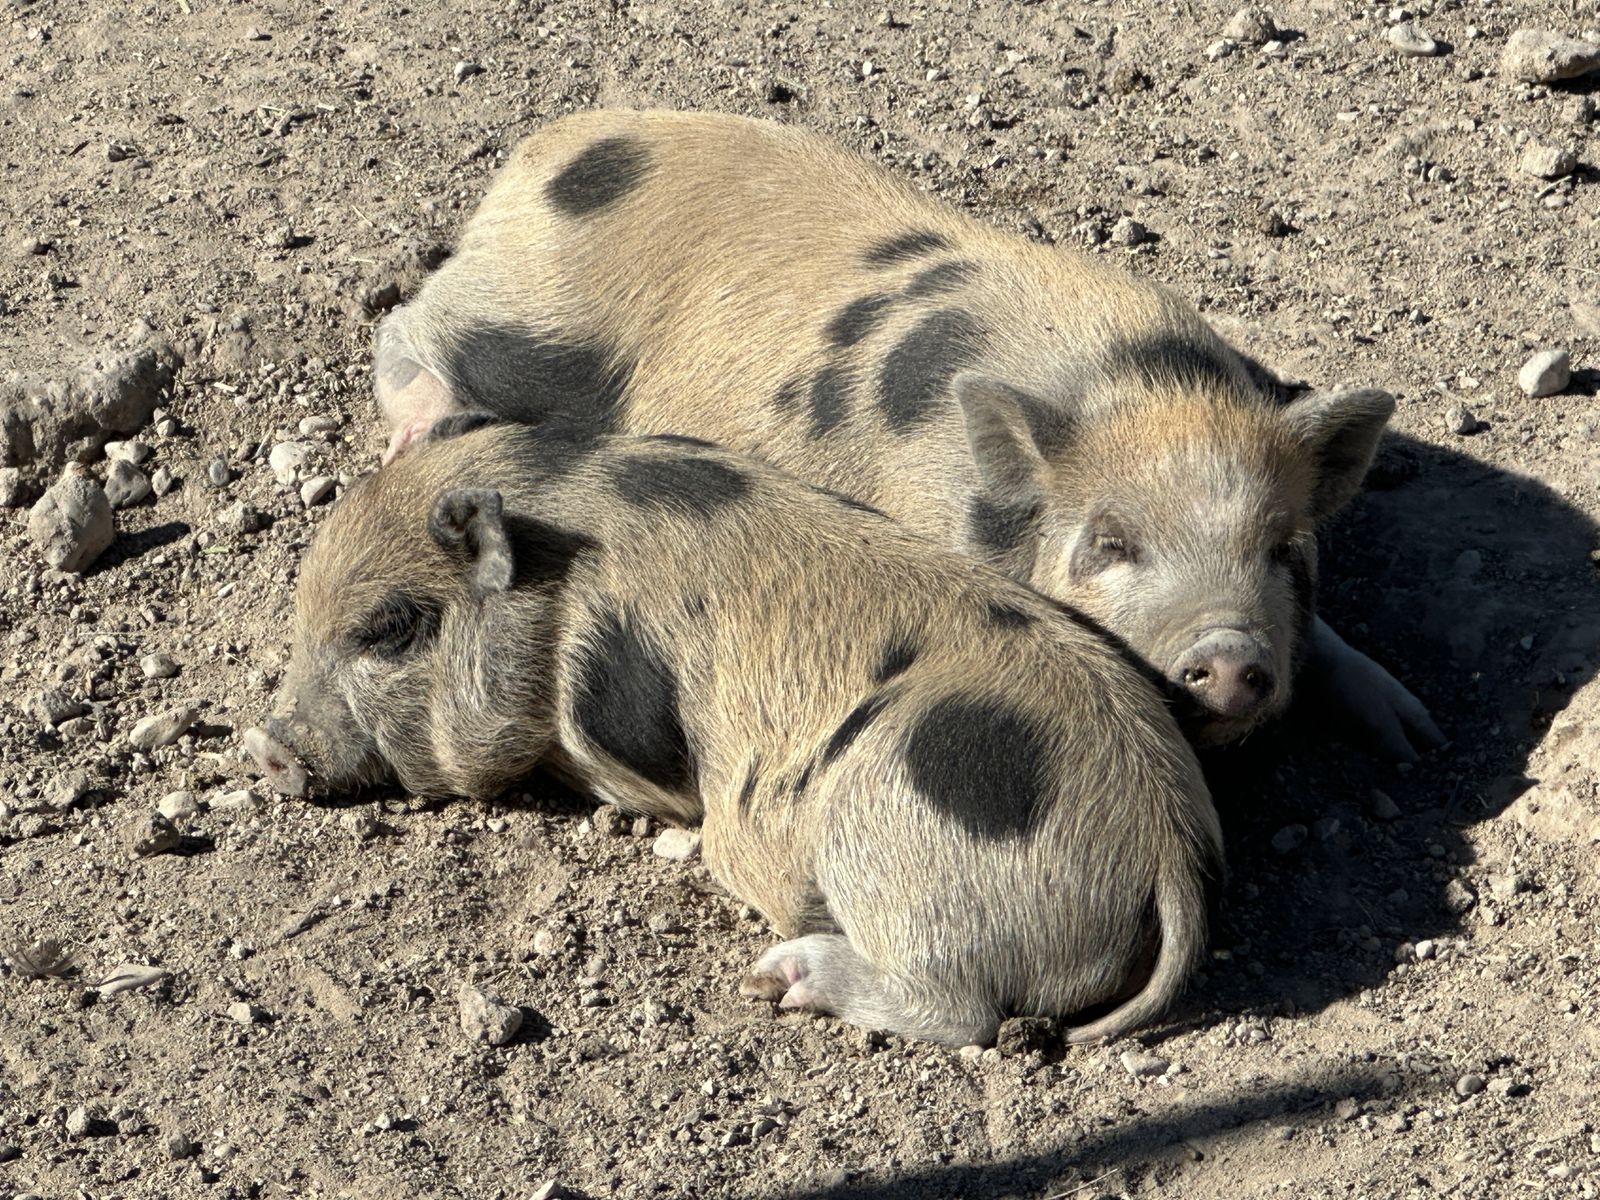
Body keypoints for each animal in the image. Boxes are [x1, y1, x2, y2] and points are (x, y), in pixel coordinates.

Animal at [245, 419, 1222, 1047]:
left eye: (388, 629)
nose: (264, 746)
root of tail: (1168, 847)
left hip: (888, 845)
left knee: (964, 1013)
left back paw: (781, 978)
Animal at [374, 109, 1442, 760]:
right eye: (1109, 543)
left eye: (1285, 549)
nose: (1225, 652)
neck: (1141, 386)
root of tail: (544, 150)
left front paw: (1416, 731)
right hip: (527, 325)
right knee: (406, 324)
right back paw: (412, 438)